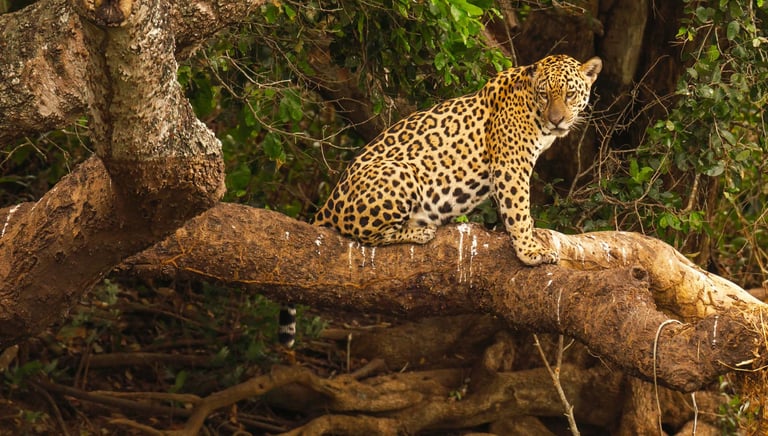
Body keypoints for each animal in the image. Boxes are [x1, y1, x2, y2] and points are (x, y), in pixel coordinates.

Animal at [313, 54, 602, 265]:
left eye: (569, 94)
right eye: (545, 94)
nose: (557, 120)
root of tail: (327, 205)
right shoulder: (511, 166)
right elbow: (518, 209)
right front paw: (530, 251)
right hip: (400, 171)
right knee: (364, 235)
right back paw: (420, 231)